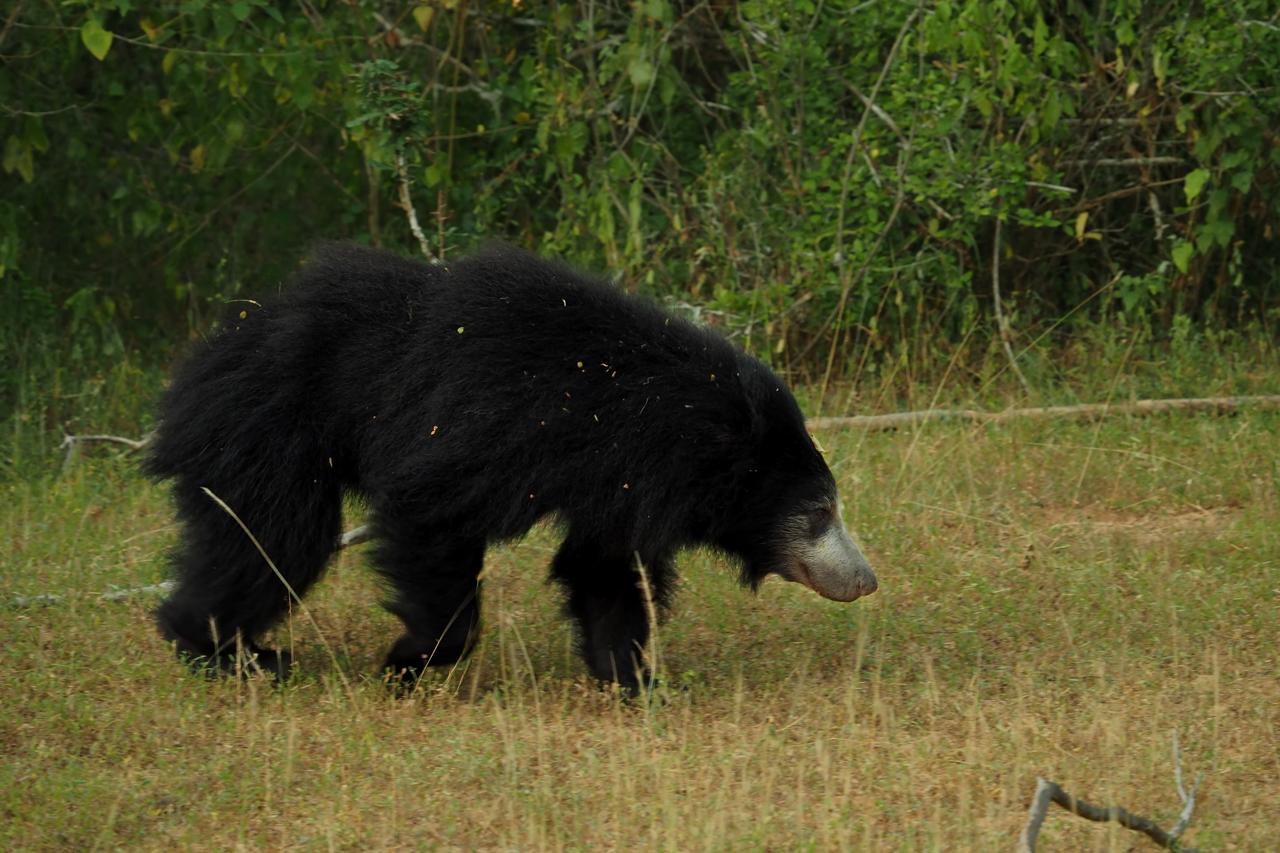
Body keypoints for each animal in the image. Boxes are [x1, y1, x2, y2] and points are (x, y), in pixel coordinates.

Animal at [145, 244, 877, 691]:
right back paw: (231, 651)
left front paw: (635, 678)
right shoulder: (492, 427)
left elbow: (604, 571)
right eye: (821, 510)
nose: (866, 579)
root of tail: (208, 353)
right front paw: (408, 660)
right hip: (269, 429)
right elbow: (427, 513)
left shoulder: (613, 487)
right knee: (272, 539)